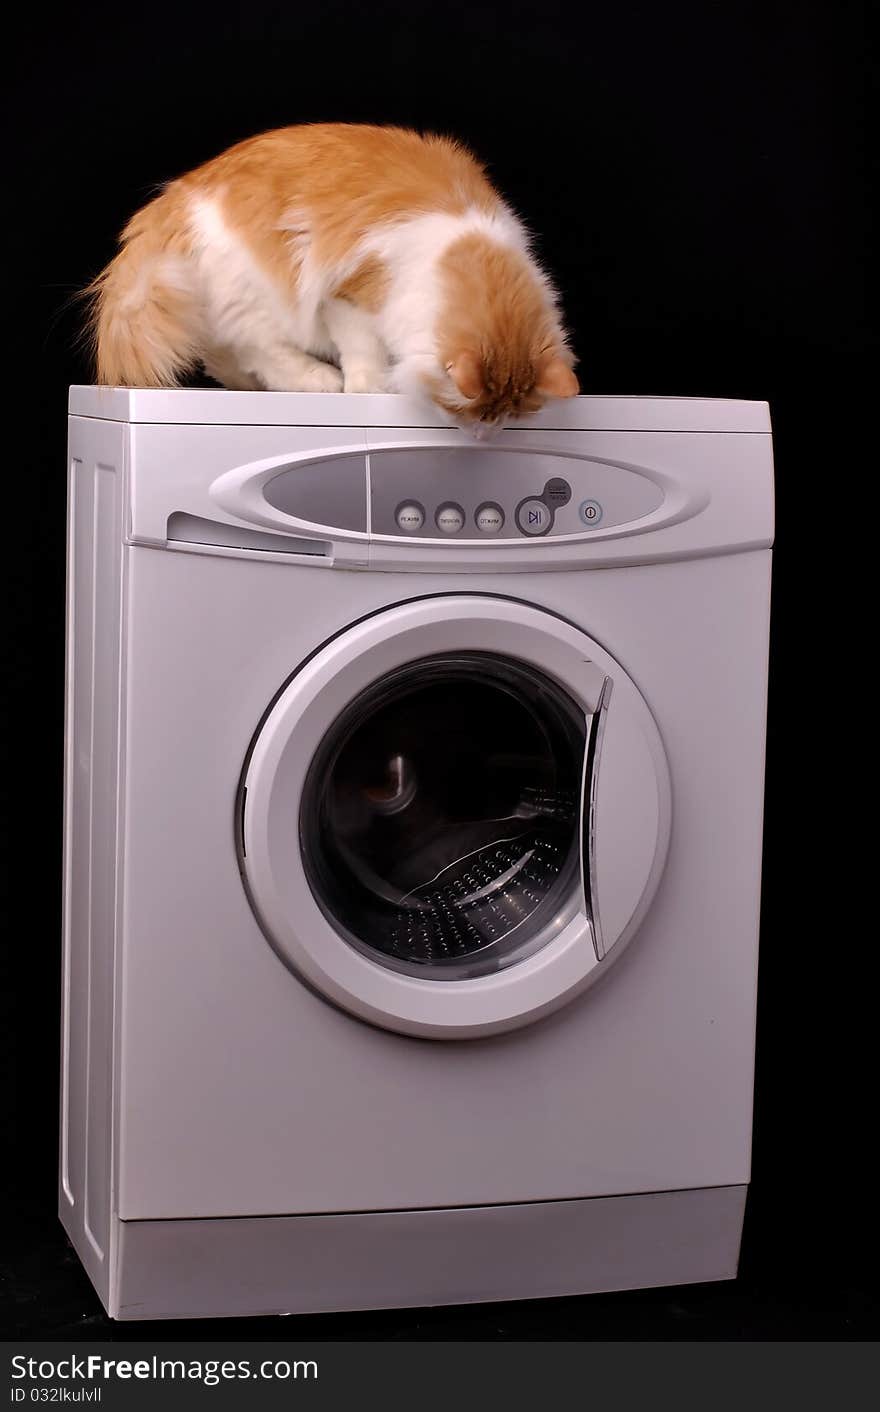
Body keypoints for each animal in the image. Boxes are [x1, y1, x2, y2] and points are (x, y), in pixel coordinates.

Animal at [89, 121, 581, 429]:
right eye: (470, 416)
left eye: (506, 420)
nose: (483, 437)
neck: (464, 244)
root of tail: (174, 199)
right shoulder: (348, 296)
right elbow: (363, 352)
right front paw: (369, 388)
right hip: (258, 293)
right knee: (259, 349)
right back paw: (318, 380)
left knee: (224, 354)